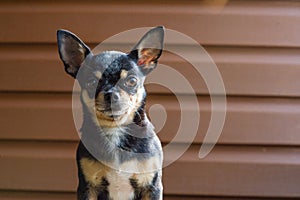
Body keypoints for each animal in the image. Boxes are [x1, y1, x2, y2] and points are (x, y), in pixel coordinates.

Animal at [56, 27, 164, 200]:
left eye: (132, 81)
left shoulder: (151, 187)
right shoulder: (88, 188)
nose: (111, 94)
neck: (115, 129)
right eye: (91, 82)